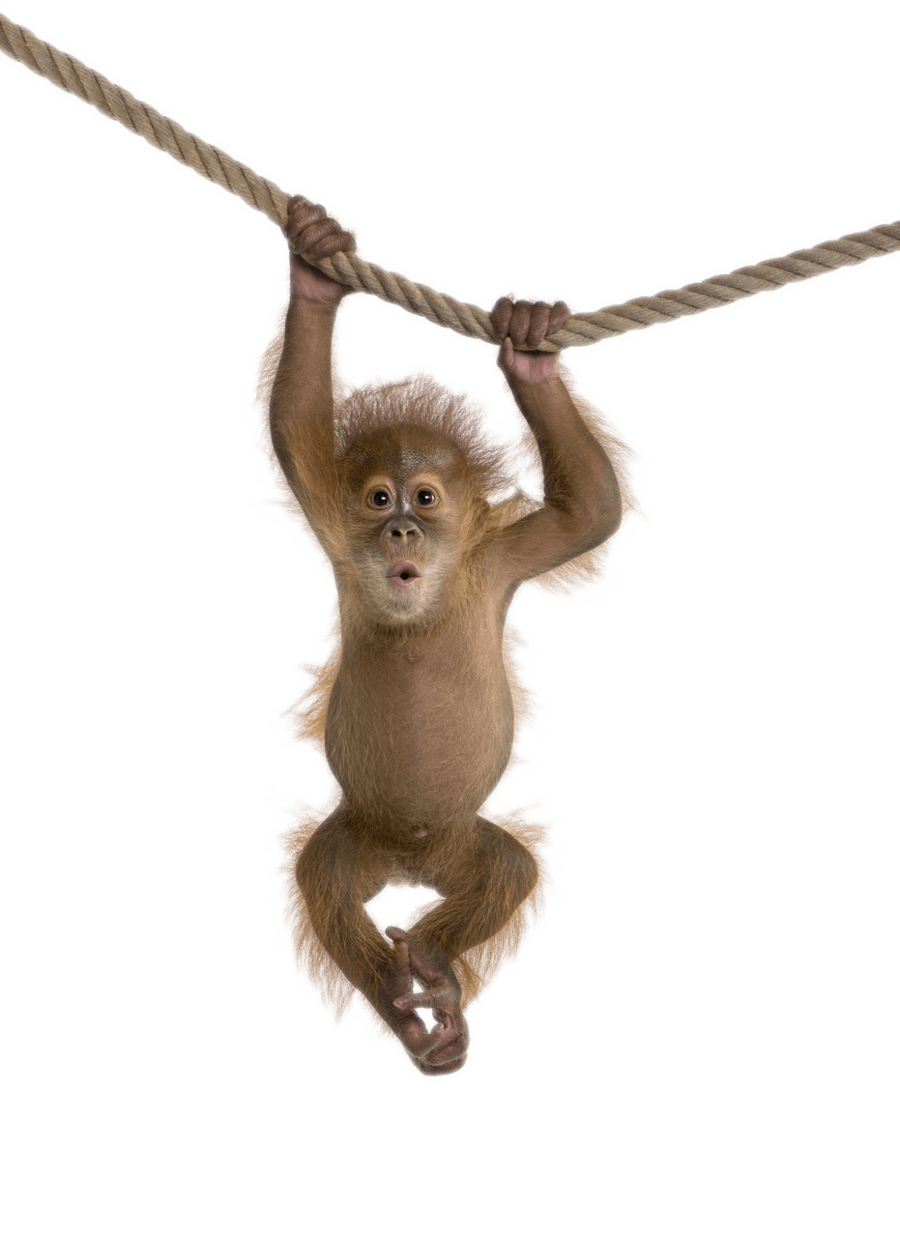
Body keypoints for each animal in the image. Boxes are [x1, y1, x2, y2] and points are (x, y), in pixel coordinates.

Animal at [267, 195, 624, 1076]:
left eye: (425, 498)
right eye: (379, 498)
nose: (400, 530)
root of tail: (410, 857)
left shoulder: (500, 559)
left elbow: (590, 509)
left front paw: (529, 348)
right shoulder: (332, 521)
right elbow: (294, 425)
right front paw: (316, 269)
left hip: (460, 844)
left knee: (509, 869)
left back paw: (430, 969)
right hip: (361, 833)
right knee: (325, 882)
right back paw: (406, 1007)